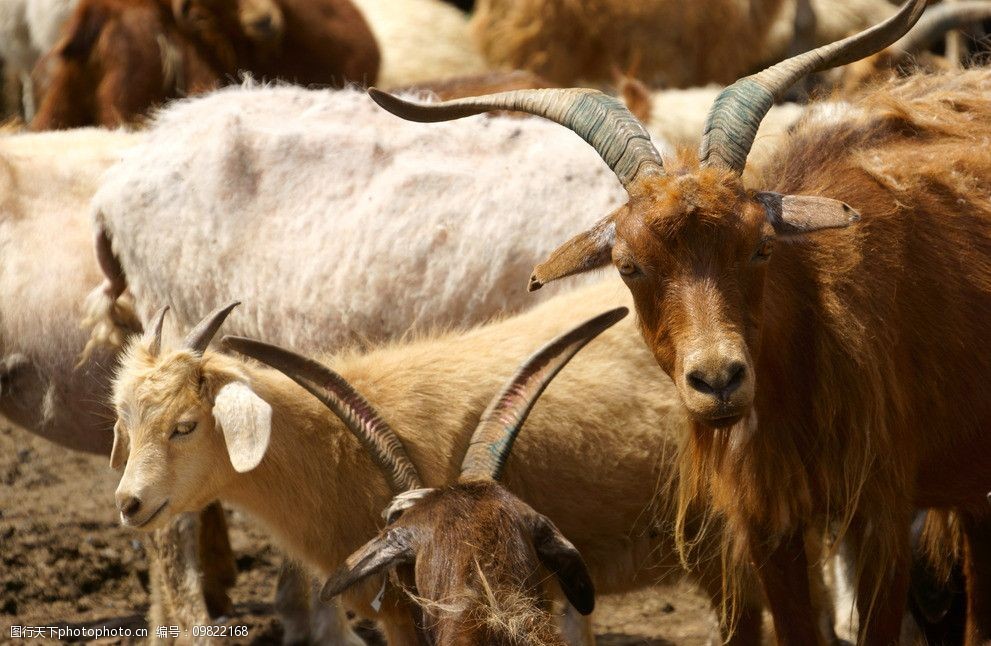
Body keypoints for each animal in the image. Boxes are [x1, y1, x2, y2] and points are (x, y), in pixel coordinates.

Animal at [366, 1, 991, 646]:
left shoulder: (882, 518)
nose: (717, 381)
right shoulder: (768, 525)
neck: (822, 327)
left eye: (762, 246)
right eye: (629, 266)